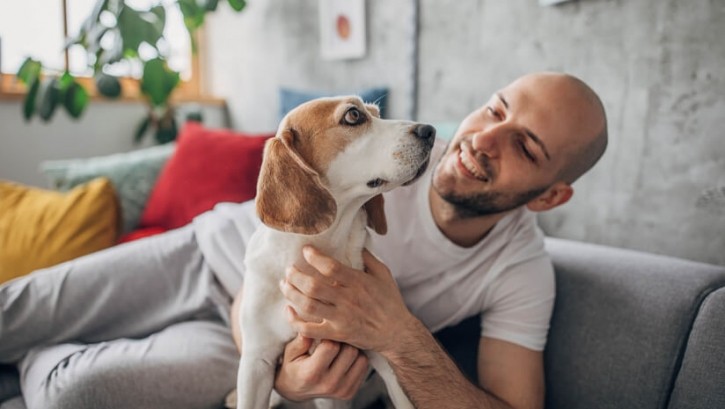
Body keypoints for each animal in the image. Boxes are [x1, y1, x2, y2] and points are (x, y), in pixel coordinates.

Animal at [235, 96, 432, 408]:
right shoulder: (256, 363)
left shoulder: (387, 358)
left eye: (377, 113)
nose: (430, 131)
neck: (324, 250)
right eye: (353, 115)